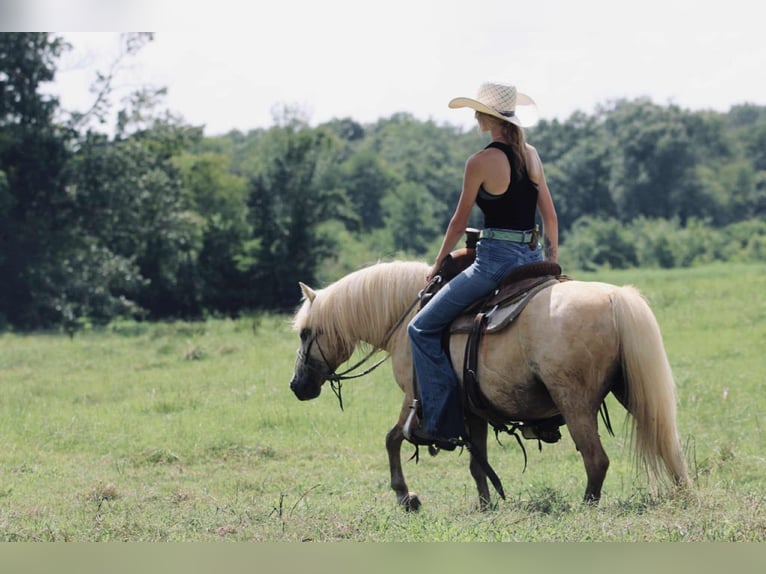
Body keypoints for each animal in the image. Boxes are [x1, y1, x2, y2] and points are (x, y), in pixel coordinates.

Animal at [289, 259, 690, 511]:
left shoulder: (414, 397)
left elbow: (392, 439)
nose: (297, 386)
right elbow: (477, 462)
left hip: (575, 402)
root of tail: (613, 297)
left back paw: (587, 505)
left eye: (307, 332)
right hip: (631, 391)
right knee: (666, 442)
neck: (407, 317)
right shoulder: (472, 409)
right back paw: (682, 492)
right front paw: (485, 503)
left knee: (596, 459)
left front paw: (406, 497)